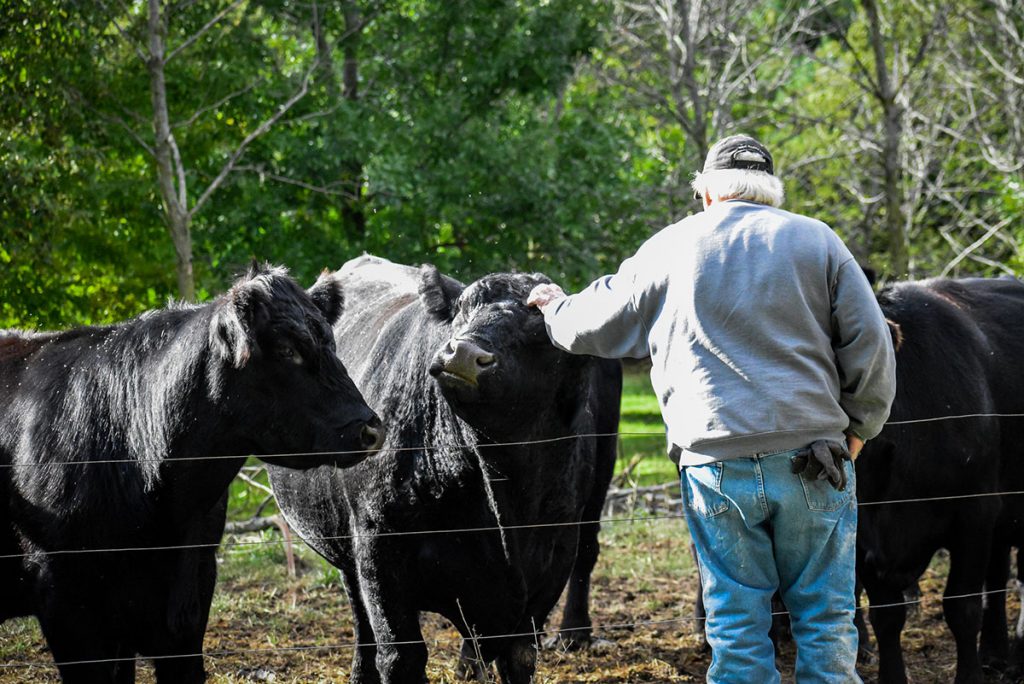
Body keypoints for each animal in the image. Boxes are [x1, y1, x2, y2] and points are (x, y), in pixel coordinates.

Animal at [267, 255, 621, 683]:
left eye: (539, 324)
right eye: (462, 310)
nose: (463, 352)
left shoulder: (551, 558)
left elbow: (519, 657)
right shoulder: (378, 544)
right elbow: (400, 655)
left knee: (588, 550)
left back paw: (571, 634)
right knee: (360, 612)